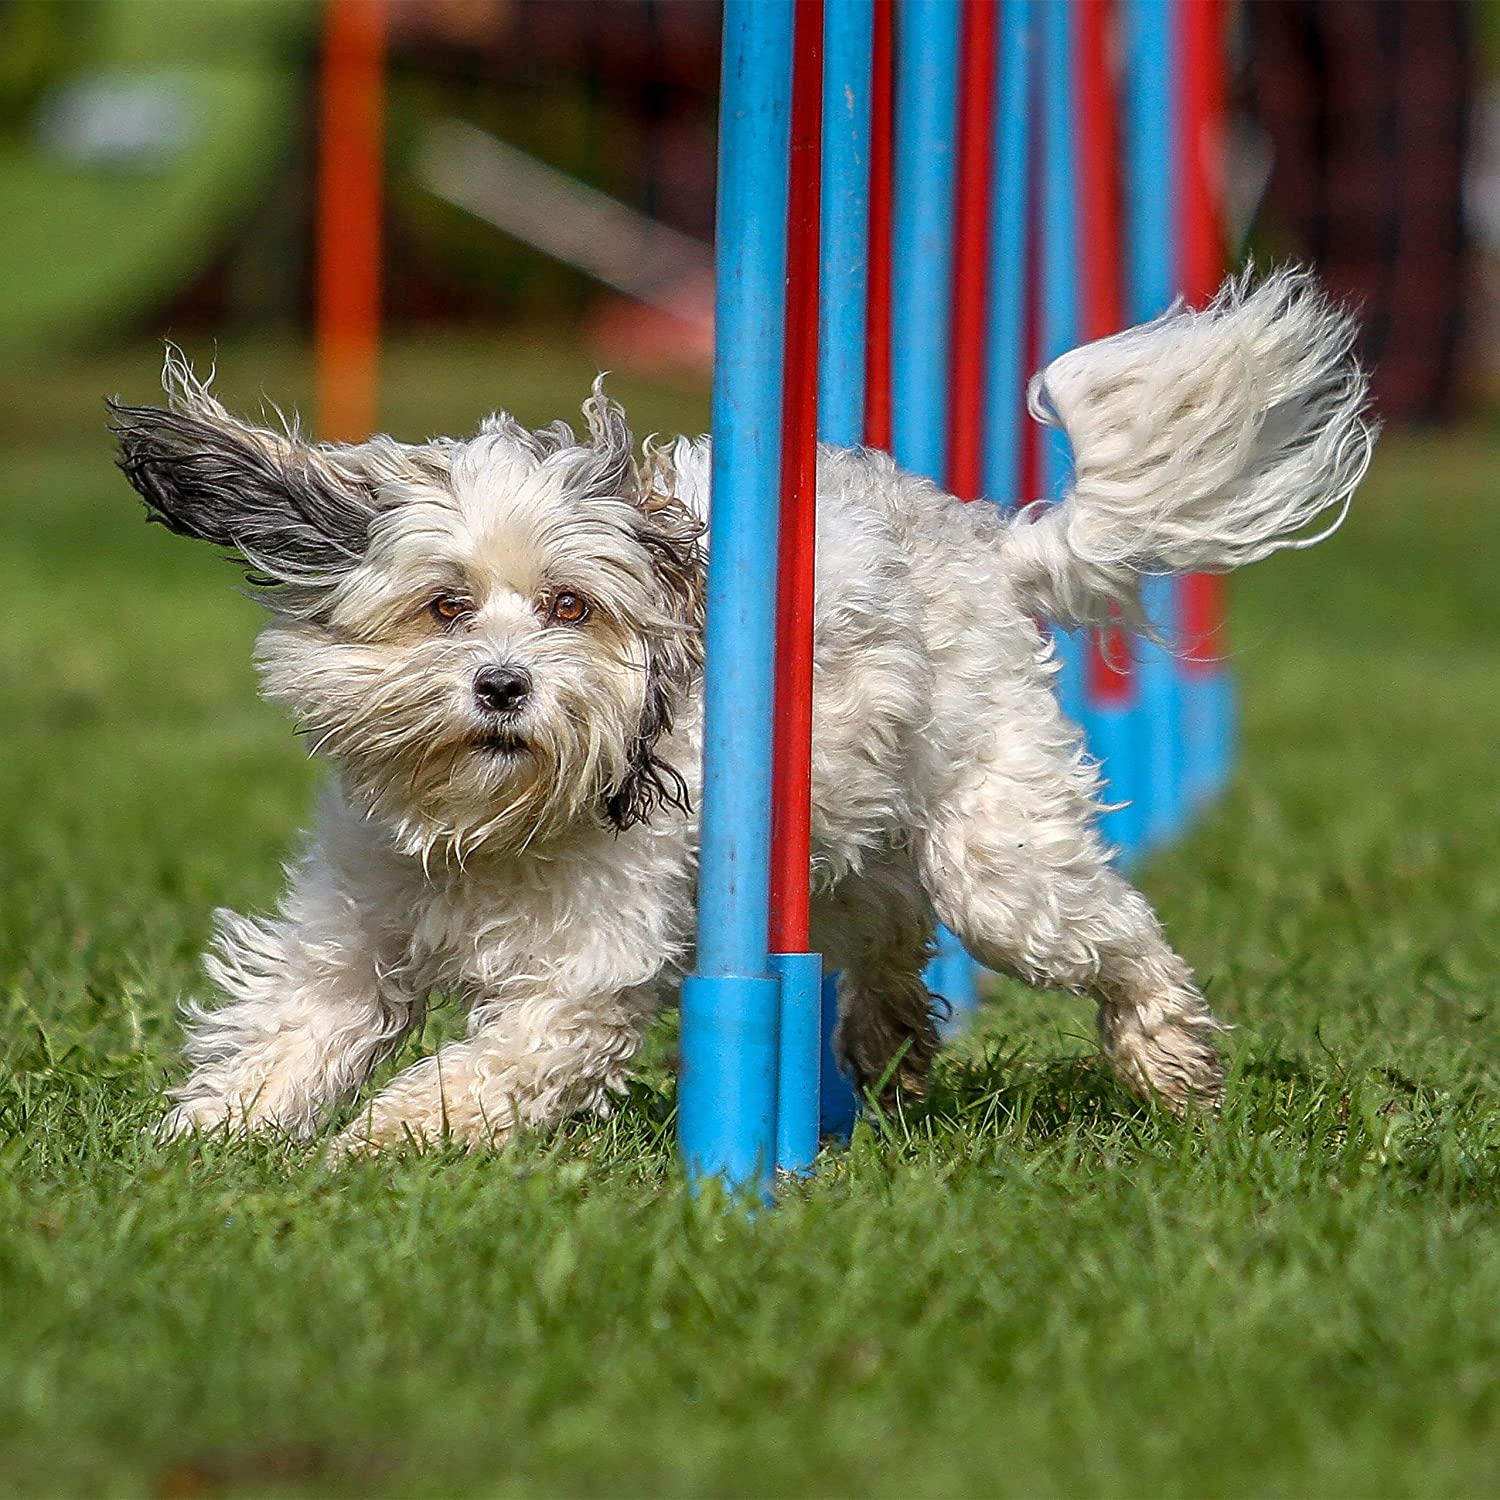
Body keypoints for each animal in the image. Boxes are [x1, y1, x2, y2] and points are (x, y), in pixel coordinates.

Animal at [111, 273, 1368, 1158]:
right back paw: (886, 1046)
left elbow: (499, 1064)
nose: (506, 686)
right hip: (837, 839)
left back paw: (1170, 1063)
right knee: (889, 933)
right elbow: (290, 1034)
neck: (495, 826)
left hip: (999, 858)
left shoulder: (585, 979)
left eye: (570, 607)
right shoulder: (351, 934)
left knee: (1108, 936)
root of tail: (990, 548)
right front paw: (205, 1149)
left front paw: (385, 1140)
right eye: (446, 606)